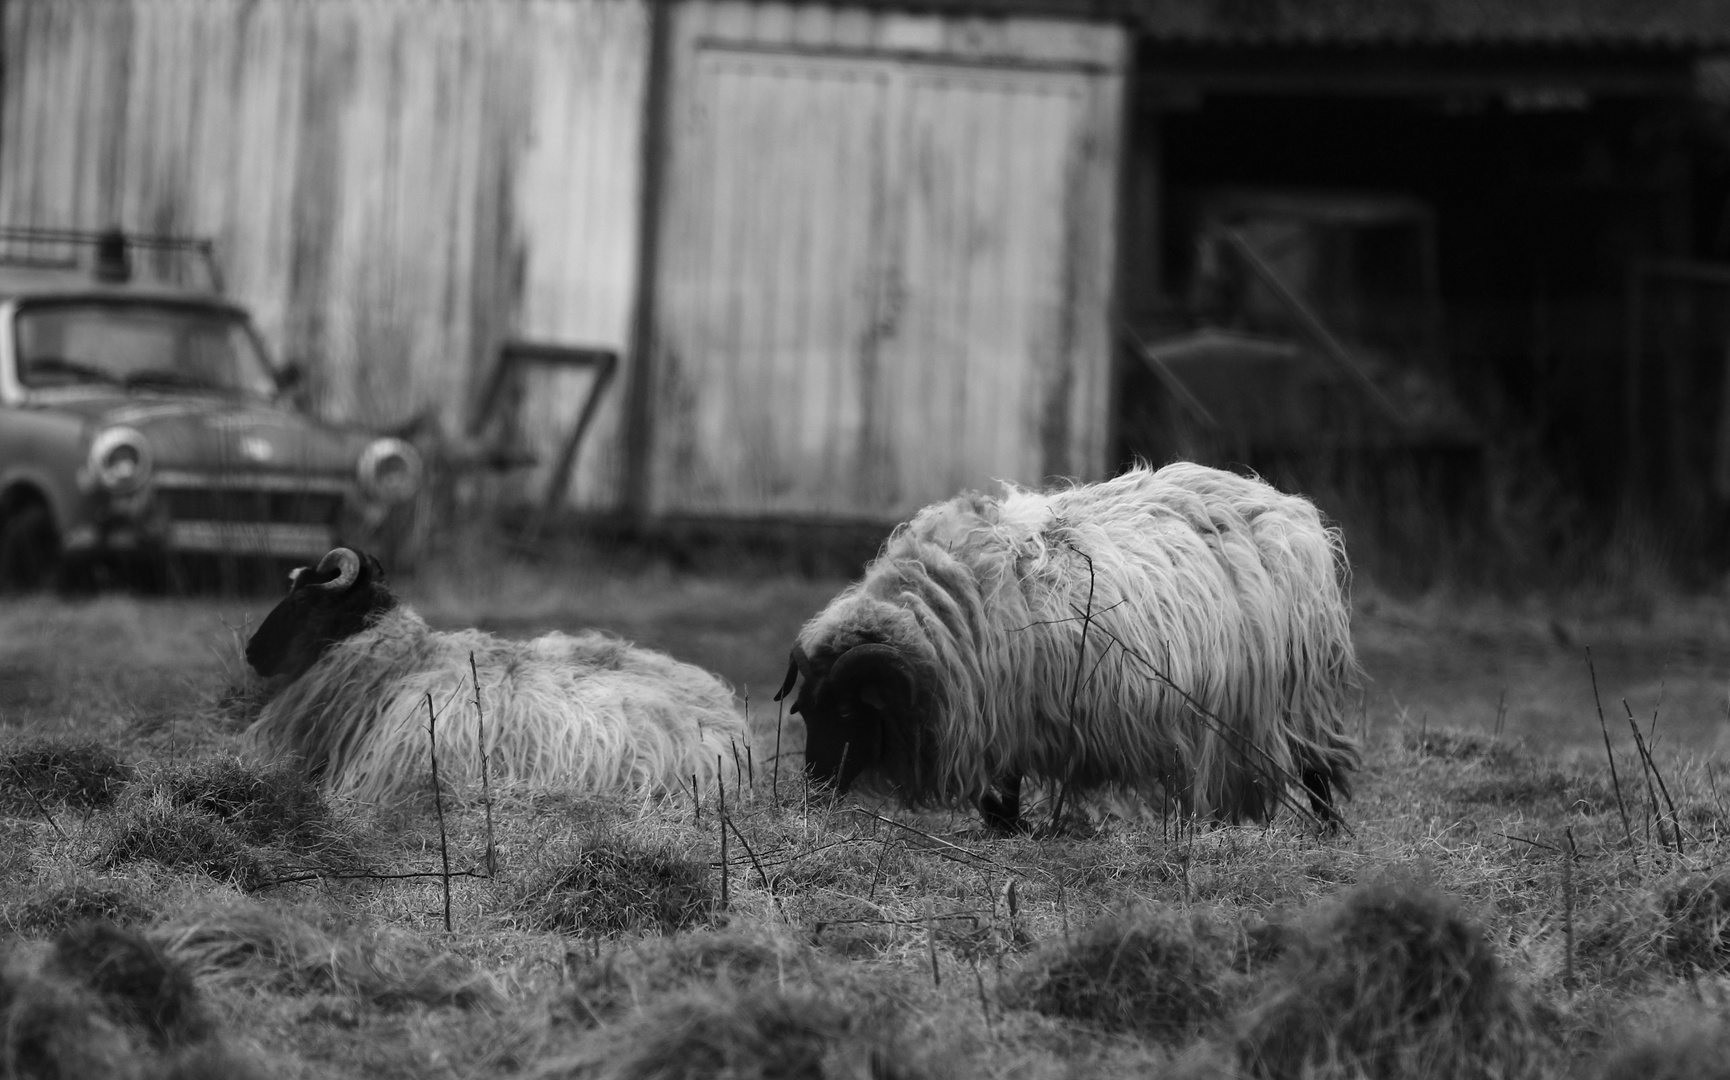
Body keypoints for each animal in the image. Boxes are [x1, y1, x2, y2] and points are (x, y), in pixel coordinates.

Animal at [778, 460, 1356, 830]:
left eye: (849, 713)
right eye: (805, 711)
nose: (814, 792)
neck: (946, 610)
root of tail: (1286, 505)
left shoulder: (1005, 715)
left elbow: (1001, 798)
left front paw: (1013, 836)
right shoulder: (1007, 720)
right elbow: (1000, 799)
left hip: (1295, 695)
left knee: (1317, 772)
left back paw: (1326, 835)